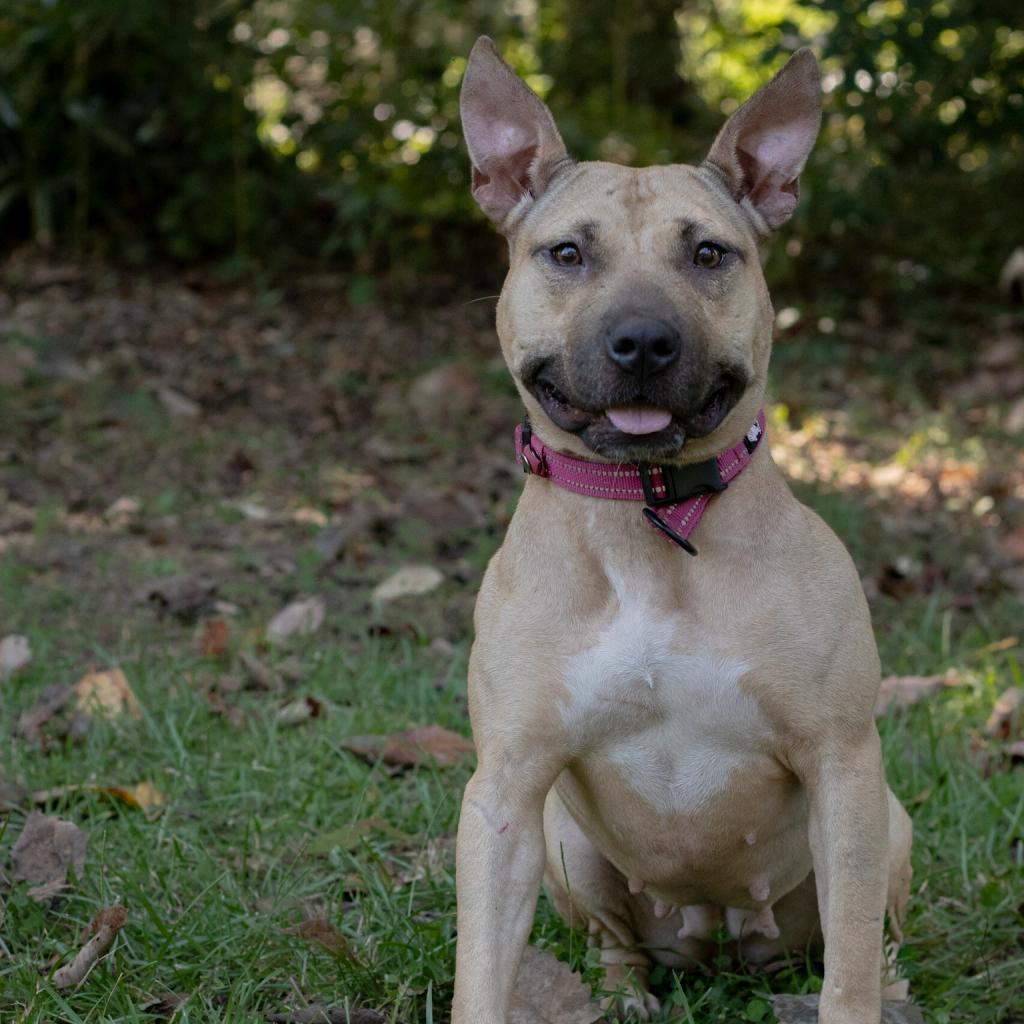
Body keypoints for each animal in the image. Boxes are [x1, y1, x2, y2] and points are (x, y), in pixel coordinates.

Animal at [454, 37, 913, 1024]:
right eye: (567, 252)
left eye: (709, 253)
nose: (642, 341)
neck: (647, 514)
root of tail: (721, 939)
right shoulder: (505, 793)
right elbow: (481, 972)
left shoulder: (844, 767)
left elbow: (850, 971)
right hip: (567, 845)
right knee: (617, 944)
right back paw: (625, 994)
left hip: (884, 825)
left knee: (869, 942)